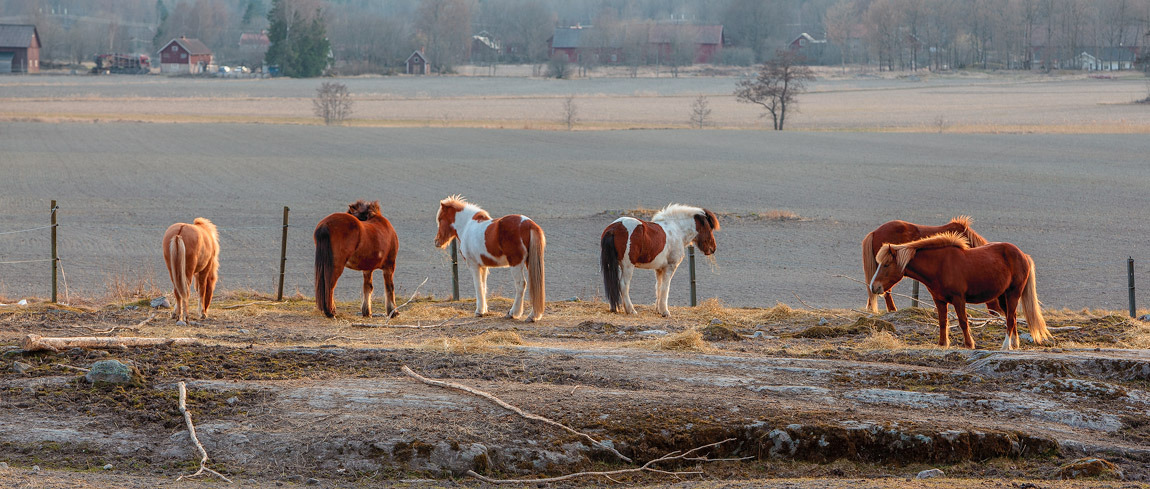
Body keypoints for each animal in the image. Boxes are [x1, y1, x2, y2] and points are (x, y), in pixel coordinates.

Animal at [869, 231, 1053, 349]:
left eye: (886, 264)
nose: (874, 287)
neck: (939, 266)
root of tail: (1023, 255)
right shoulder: (939, 300)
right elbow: (943, 321)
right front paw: (942, 344)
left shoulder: (959, 299)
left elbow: (963, 321)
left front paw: (969, 344)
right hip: (1003, 297)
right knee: (1012, 318)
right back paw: (1014, 344)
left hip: (1013, 294)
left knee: (1009, 319)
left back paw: (1006, 346)